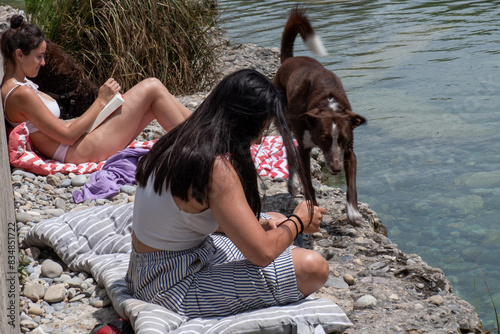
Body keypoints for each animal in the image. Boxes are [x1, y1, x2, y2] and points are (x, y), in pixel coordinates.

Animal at [274, 7, 368, 227]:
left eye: (342, 139)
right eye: (324, 139)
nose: (335, 168)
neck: (328, 103)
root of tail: (289, 60)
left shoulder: (349, 152)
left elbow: (352, 185)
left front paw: (353, 213)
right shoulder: (304, 149)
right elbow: (308, 184)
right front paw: (312, 213)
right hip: (282, 121)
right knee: (289, 150)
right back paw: (293, 183)